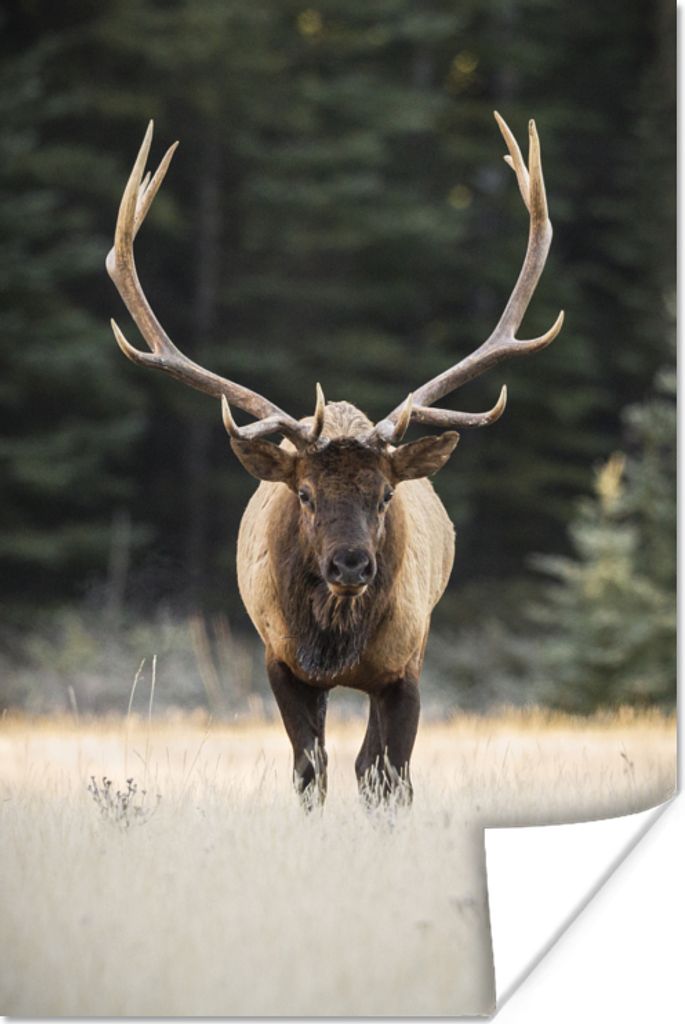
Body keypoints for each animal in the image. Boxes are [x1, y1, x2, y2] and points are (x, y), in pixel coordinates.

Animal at [106, 112, 563, 807]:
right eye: (305, 494)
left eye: (385, 494)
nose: (351, 564)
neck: (337, 646)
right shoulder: (280, 661)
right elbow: (309, 773)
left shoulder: (405, 664)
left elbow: (389, 776)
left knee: (372, 765)